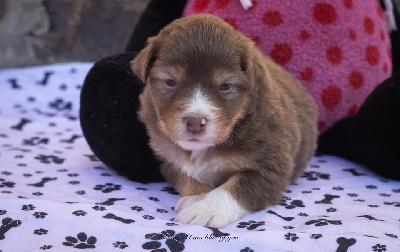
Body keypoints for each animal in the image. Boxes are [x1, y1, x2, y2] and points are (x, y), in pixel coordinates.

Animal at [132, 13, 318, 227]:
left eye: (225, 86)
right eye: (170, 82)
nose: (195, 122)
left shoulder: (269, 166)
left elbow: (234, 189)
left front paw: (204, 209)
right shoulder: (168, 157)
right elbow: (187, 176)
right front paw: (196, 197)